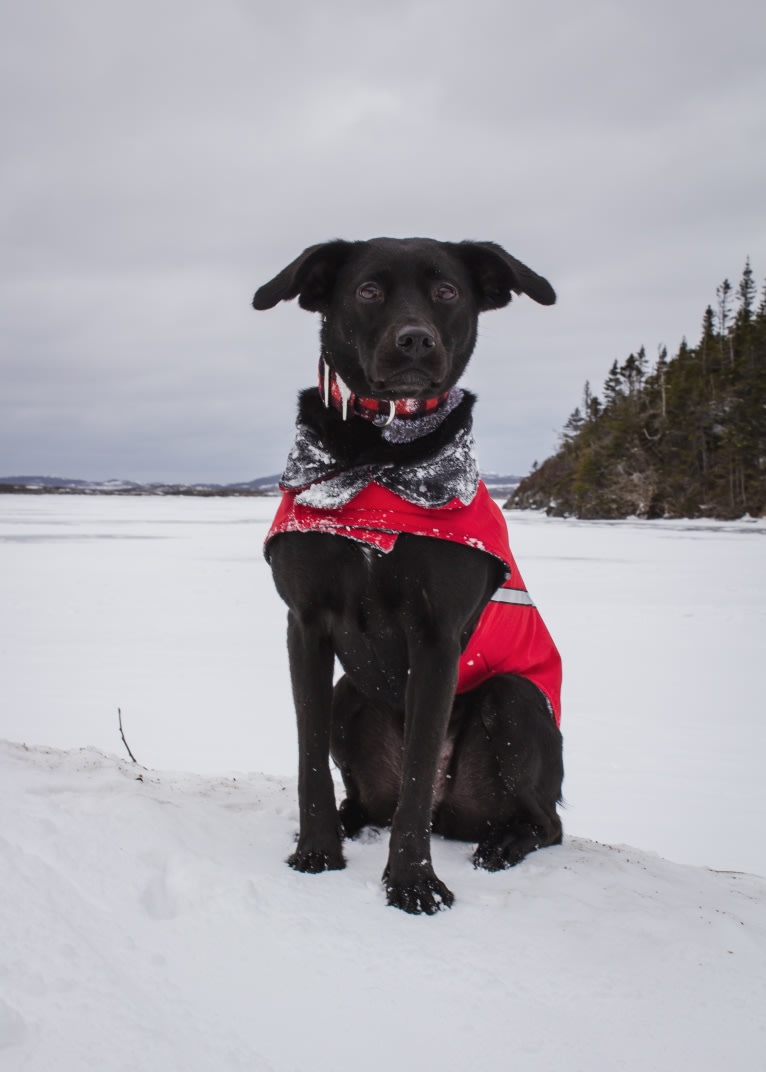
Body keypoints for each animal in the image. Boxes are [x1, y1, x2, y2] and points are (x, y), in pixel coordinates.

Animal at [254, 241, 561, 913]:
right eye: (368, 291)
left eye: (447, 291)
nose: (416, 340)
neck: (379, 457)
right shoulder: (304, 623)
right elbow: (309, 760)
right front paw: (316, 852)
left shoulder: (437, 637)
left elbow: (419, 773)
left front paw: (414, 883)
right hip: (351, 695)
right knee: (367, 797)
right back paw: (348, 821)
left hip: (516, 699)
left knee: (544, 821)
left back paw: (502, 843)